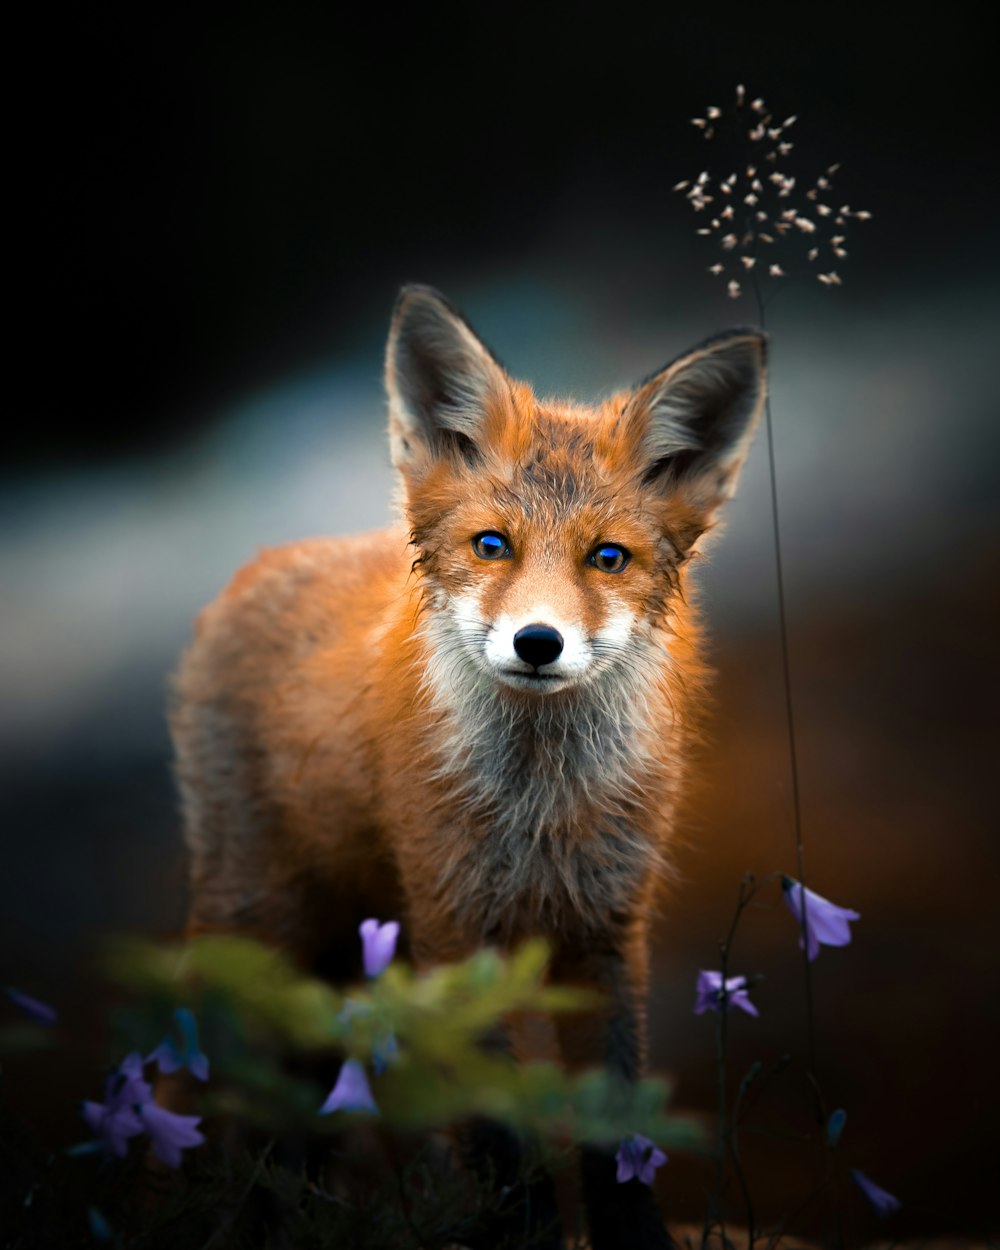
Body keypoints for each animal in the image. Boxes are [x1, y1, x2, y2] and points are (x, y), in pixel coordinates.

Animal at [170, 286, 765, 1250]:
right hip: (262, 923)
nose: (537, 641)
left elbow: (615, 1120)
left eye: (607, 558)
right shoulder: (453, 925)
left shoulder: (607, 928)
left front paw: (632, 1232)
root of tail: (264, 560)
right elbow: (496, 1132)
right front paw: (516, 1227)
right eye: (493, 546)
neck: (539, 813)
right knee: (203, 1083)